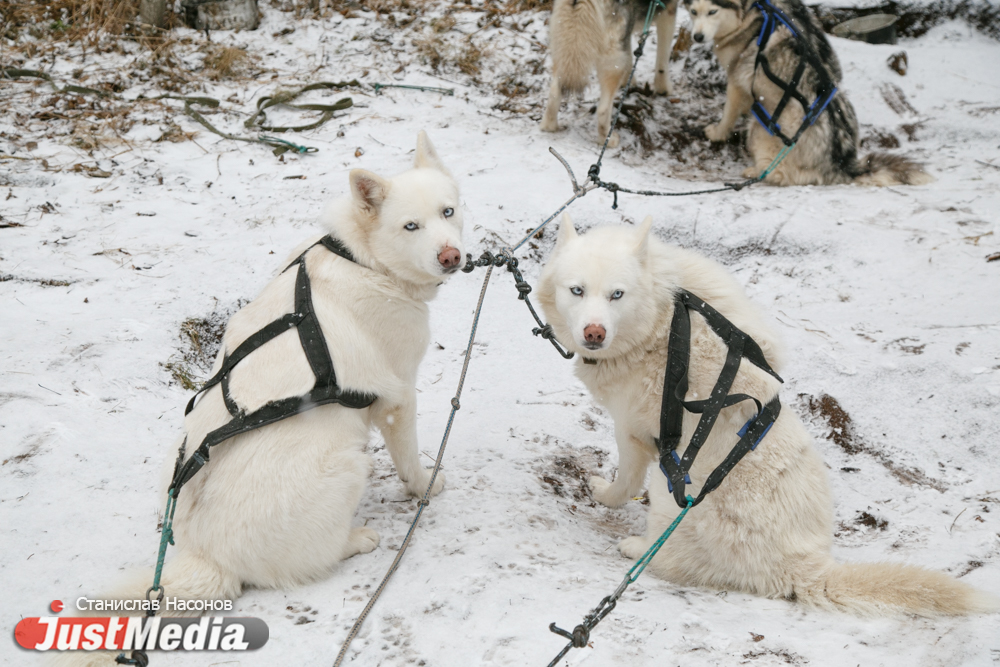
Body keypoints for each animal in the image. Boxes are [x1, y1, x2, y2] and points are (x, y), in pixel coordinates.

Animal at [60, 132, 466, 667]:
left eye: (448, 211)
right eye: (410, 226)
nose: (452, 257)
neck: (362, 259)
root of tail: (211, 556)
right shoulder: (399, 398)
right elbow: (411, 462)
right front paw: (424, 485)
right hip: (346, 462)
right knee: (312, 559)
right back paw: (355, 540)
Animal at [544, 217, 996, 620]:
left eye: (617, 295)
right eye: (577, 290)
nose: (594, 333)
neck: (661, 322)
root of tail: (803, 570)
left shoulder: (632, 430)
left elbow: (624, 482)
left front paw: (604, 494)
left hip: (674, 485)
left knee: (669, 557)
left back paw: (638, 548)